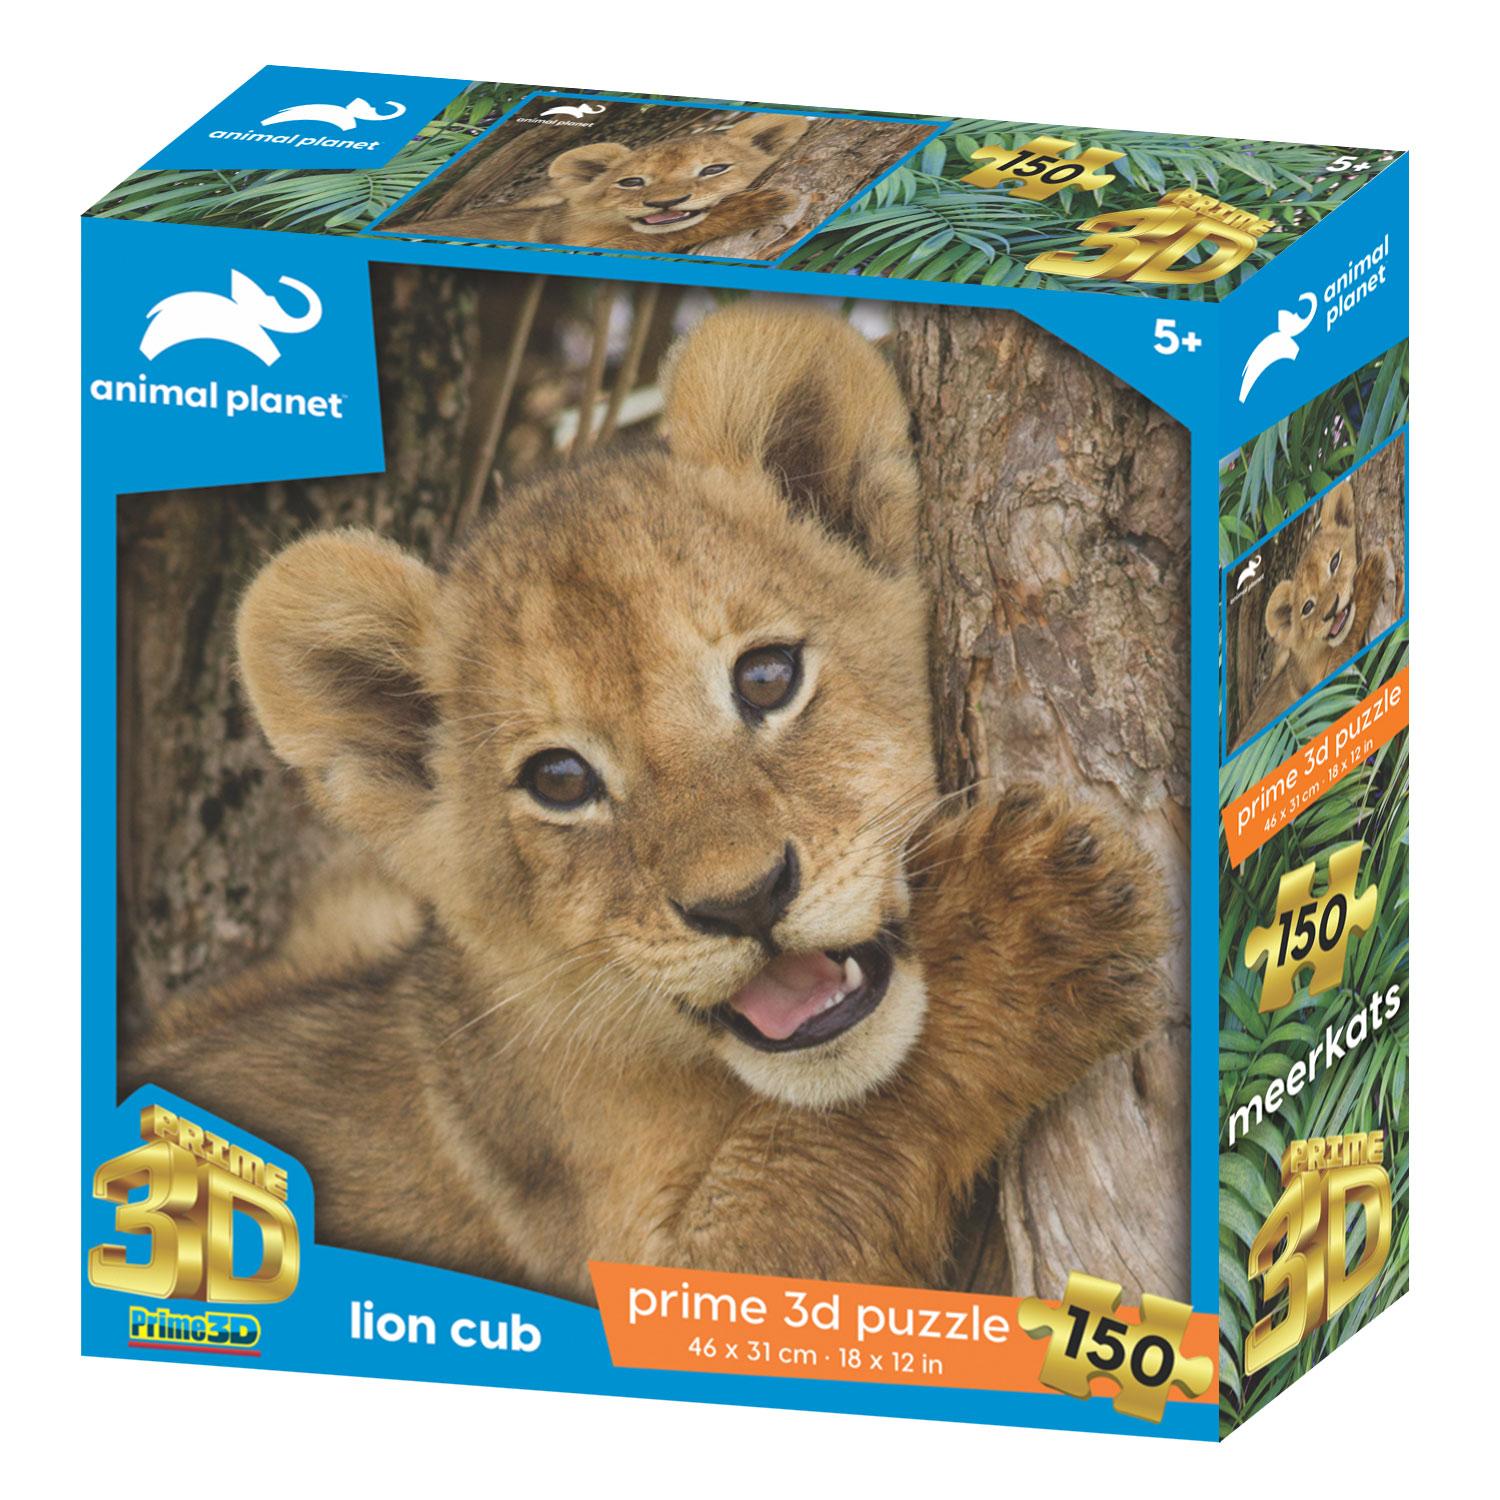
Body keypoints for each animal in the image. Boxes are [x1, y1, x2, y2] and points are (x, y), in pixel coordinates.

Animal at [126, 302, 1167, 1300]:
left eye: (767, 677)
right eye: (560, 781)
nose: (744, 901)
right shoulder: (625, 1261)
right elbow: (809, 1164)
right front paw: (1027, 914)